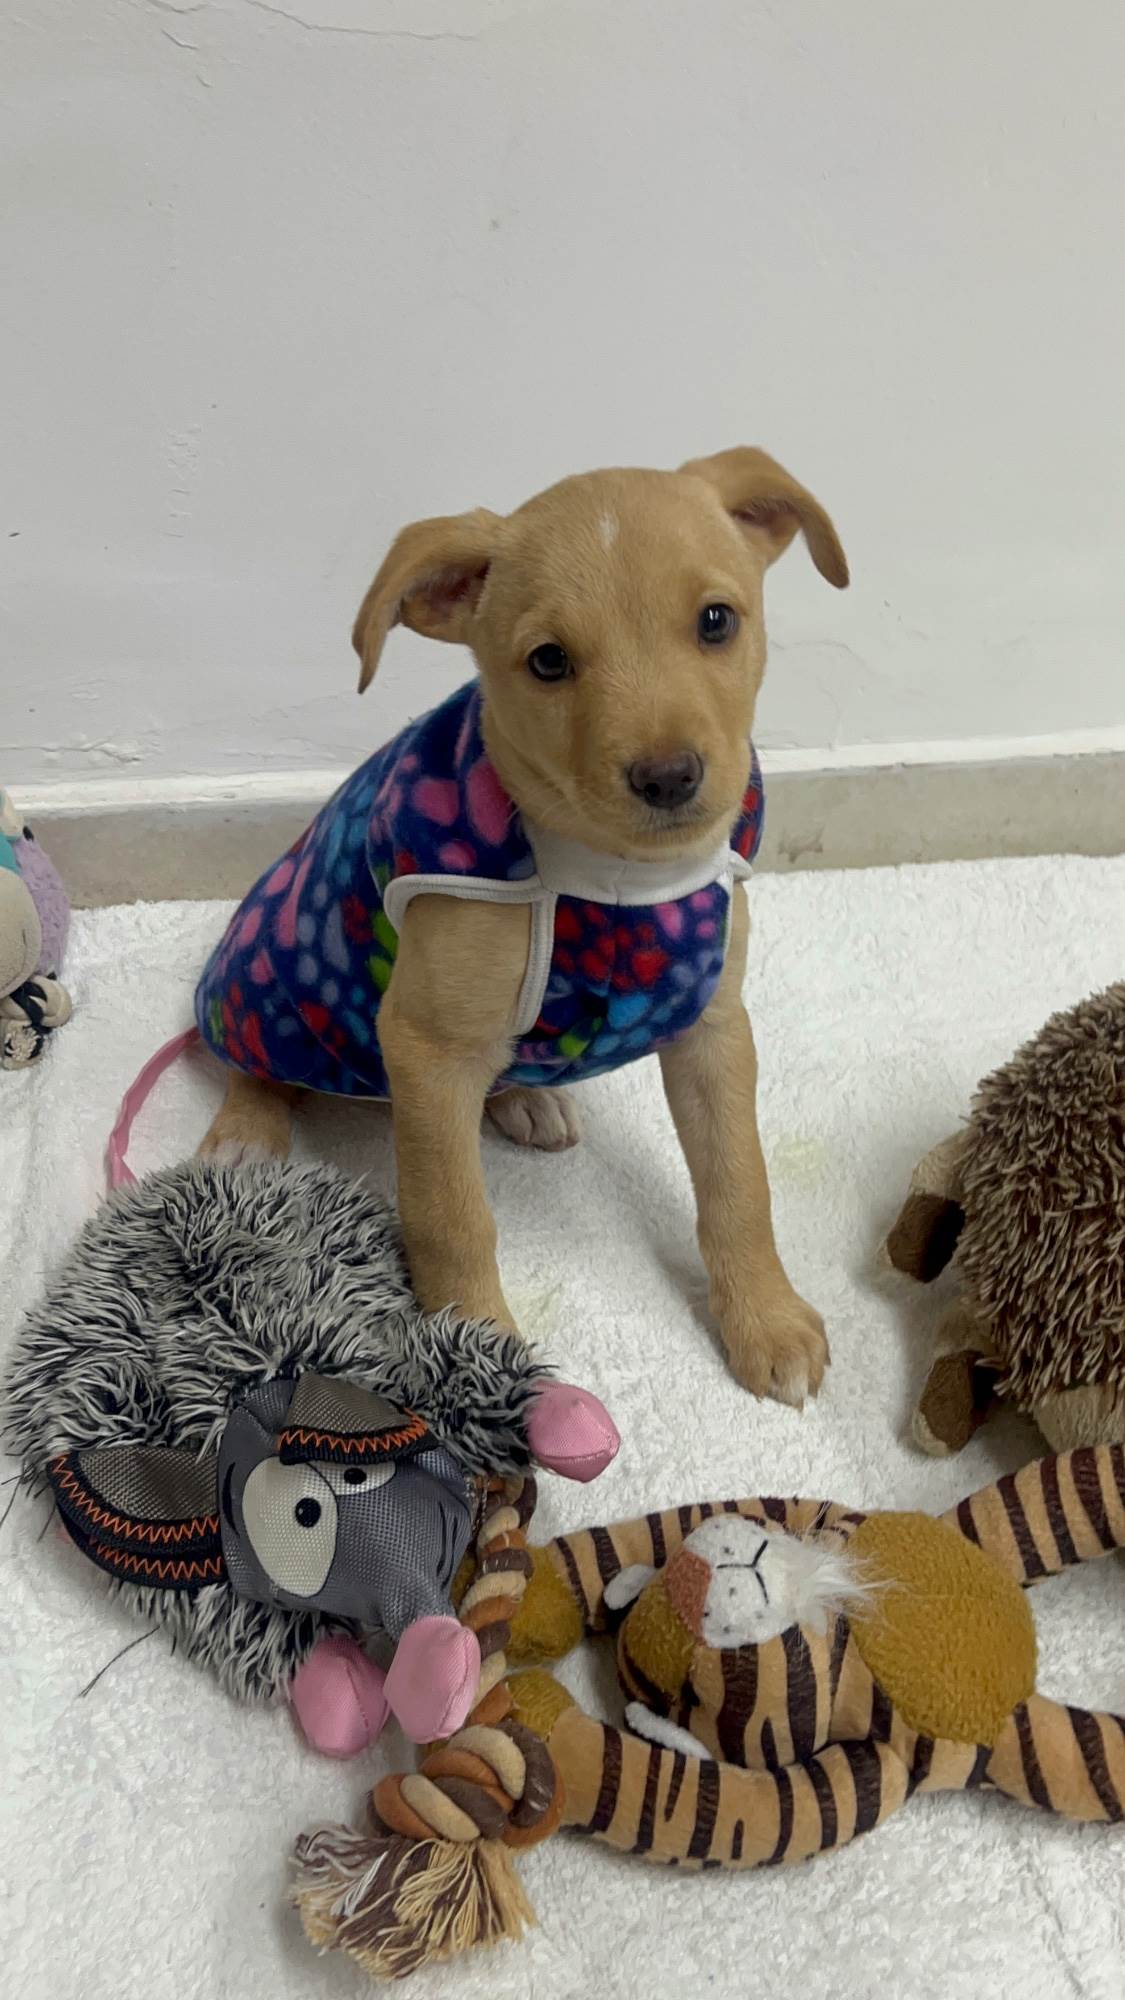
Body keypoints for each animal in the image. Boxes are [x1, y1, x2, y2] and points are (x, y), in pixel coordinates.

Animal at [197, 447, 848, 1406]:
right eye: (548, 661)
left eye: (716, 621)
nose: (669, 778)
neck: (613, 883)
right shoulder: (425, 1049)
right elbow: (451, 1218)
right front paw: (475, 1359)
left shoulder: (713, 1027)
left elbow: (739, 1182)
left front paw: (763, 1319)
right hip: (271, 978)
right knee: (255, 1057)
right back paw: (246, 1133)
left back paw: (526, 1098)